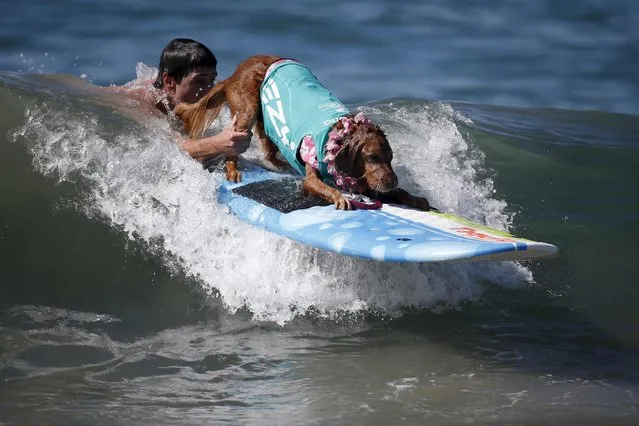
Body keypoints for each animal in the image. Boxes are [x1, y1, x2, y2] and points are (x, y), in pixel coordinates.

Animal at [176, 55, 430, 211]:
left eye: (390, 157)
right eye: (373, 157)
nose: (392, 179)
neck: (338, 135)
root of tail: (237, 71)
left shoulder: (365, 182)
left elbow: (398, 192)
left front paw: (415, 197)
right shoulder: (312, 178)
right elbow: (324, 187)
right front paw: (340, 197)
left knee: (268, 152)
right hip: (247, 110)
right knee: (233, 145)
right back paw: (233, 170)